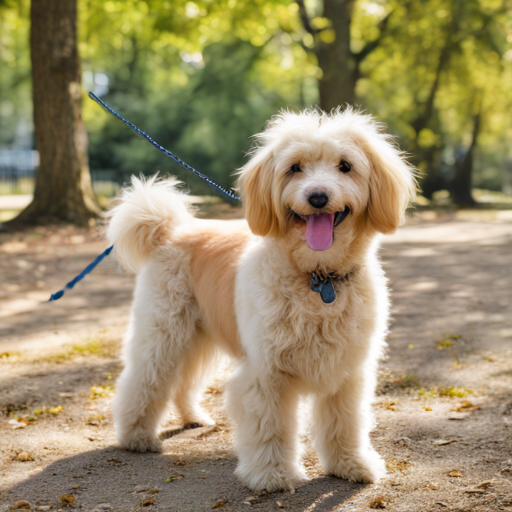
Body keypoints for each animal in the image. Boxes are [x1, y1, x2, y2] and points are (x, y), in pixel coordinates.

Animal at [108, 107, 416, 492]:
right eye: (294, 167)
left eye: (345, 166)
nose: (317, 197)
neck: (317, 279)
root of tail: (170, 230)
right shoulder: (265, 372)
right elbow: (270, 426)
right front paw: (272, 475)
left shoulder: (347, 371)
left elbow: (344, 423)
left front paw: (350, 464)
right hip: (164, 334)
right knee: (143, 381)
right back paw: (136, 436)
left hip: (199, 338)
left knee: (184, 382)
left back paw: (193, 417)